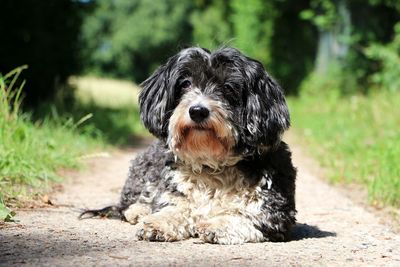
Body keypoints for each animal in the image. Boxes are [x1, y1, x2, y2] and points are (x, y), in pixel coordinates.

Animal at [79, 46, 296, 245]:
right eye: (185, 83)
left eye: (228, 87)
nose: (198, 111)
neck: (212, 165)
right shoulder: (173, 190)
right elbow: (175, 207)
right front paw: (159, 222)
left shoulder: (273, 213)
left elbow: (243, 215)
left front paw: (217, 224)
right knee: (130, 203)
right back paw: (138, 211)